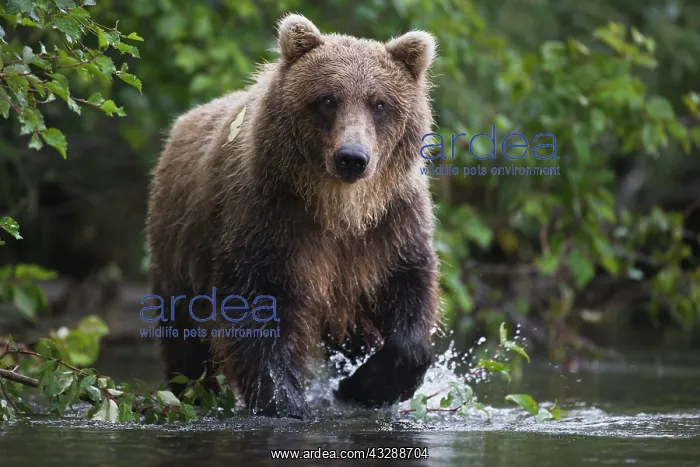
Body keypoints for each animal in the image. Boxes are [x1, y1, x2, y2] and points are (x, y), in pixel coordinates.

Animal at [146, 13, 440, 419]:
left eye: (379, 103)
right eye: (328, 99)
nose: (352, 157)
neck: (339, 208)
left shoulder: (389, 227)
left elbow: (410, 292)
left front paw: (361, 387)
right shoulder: (269, 218)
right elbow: (259, 309)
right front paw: (285, 401)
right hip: (179, 250)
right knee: (185, 337)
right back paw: (191, 390)